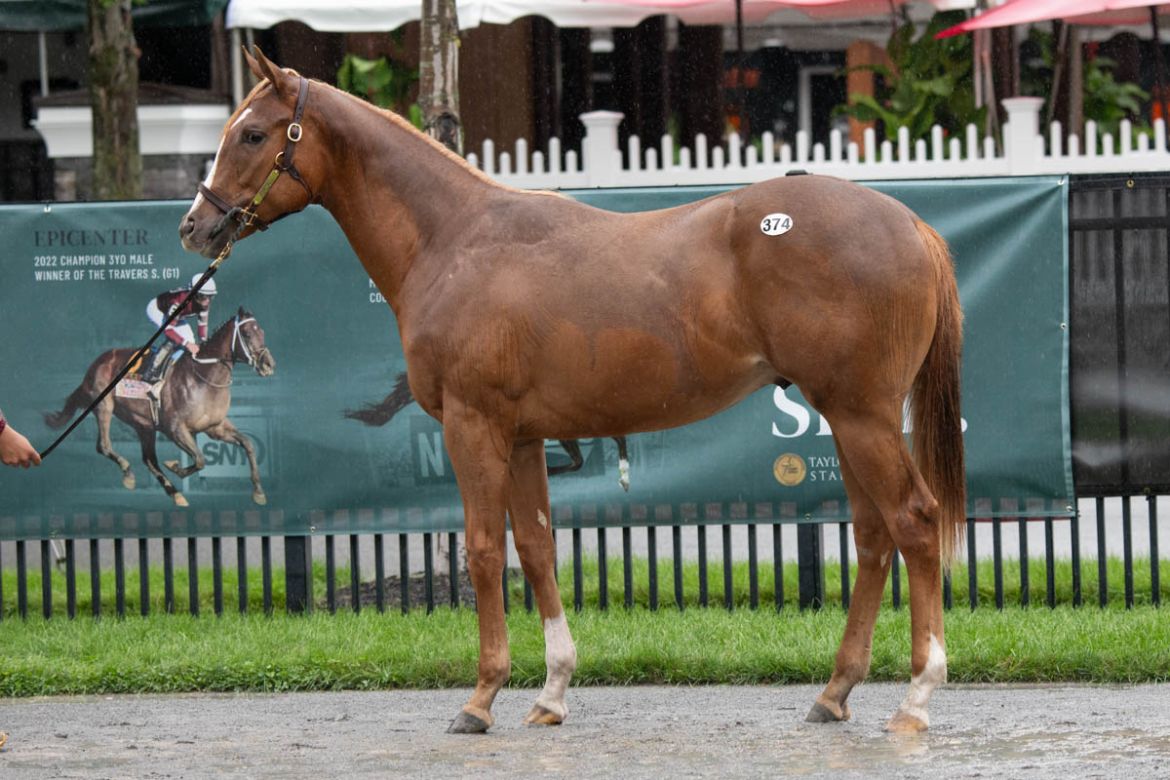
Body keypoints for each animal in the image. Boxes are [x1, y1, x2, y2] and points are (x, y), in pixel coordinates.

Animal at [45, 308, 276, 508]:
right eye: (247, 333)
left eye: (263, 332)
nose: (269, 364)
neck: (204, 376)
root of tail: (97, 363)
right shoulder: (174, 428)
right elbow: (200, 459)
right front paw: (175, 466)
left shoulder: (214, 427)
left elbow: (247, 443)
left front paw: (258, 492)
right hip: (104, 406)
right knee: (104, 445)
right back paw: (128, 473)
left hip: (143, 424)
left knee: (149, 459)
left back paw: (175, 494)